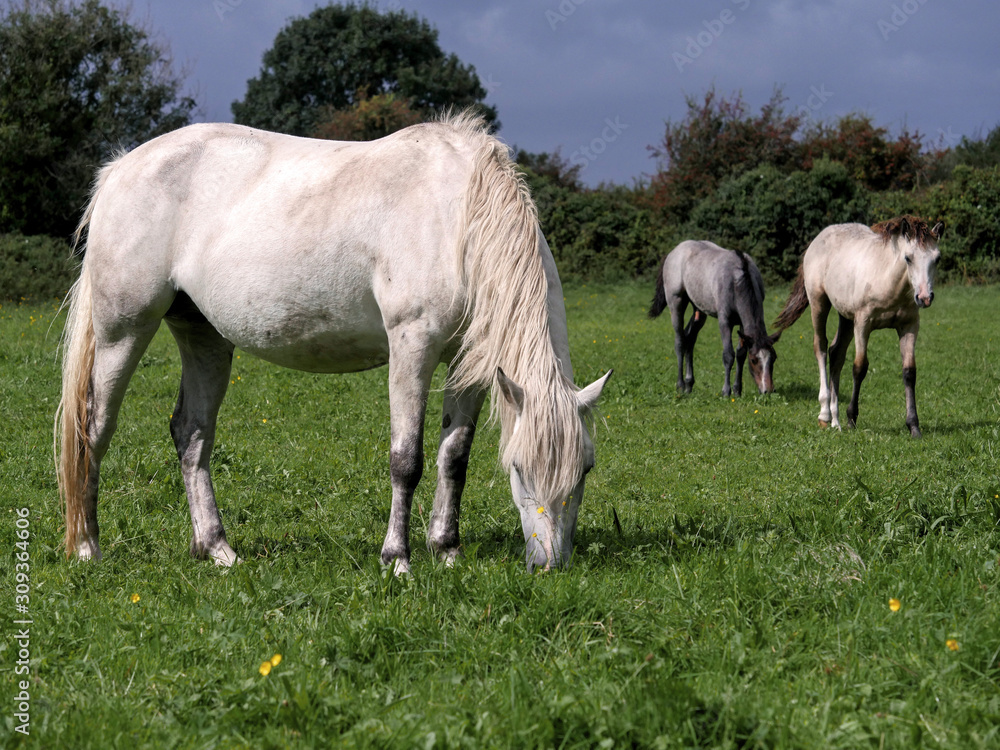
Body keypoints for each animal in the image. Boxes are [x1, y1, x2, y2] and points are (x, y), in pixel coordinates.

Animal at [55, 113, 611, 574]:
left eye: (585, 467)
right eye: (518, 469)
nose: (549, 564)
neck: (458, 218)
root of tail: (120, 168)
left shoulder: (468, 363)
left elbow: (454, 456)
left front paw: (447, 550)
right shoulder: (412, 346)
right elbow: (406, 459)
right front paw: (397, 559)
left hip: (203, 337)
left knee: (191, 433)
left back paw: (216, 549)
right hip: (123, 331)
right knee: (94, 427)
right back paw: (87, 547)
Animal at [648, 240, 779, 396]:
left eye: (773, 358)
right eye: (753, 360)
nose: (767, 390)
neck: (737, 280)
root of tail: (673, 252)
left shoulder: (742, 325)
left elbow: (740, 354)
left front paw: (737, 390)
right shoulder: (725, 322)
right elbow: (728, 355)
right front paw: (726, 391)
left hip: (699, 310)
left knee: (689, 339)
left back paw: (689, 384)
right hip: (676, 303)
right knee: (680, 341)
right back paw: (680, 385)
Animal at [773, 216, 942, 438]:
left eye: (937, 259)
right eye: (908, 258)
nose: (924, 297)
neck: (888, 279)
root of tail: (818, 239)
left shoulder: (909, 326)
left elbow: (909, 372)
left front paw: (914, 426)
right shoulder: (863, 323)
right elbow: (860, 368)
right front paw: (852, 418)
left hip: (845, 317)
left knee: (836, 353)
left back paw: (835, 421)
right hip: (819, 304)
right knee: (821, 347)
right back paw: (825, 415)